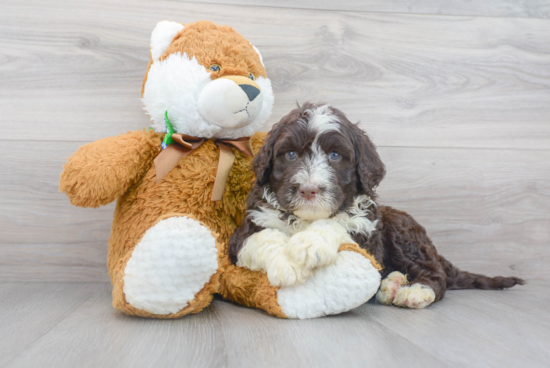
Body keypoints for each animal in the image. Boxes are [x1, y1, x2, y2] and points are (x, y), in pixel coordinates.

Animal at [230, 103, 528, 308]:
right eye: (290, 154)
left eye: (335, 156)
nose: (308, 189)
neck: (305, 219)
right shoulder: (245, 231)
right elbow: (264, 237)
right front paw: (286, 264)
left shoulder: (367, 234)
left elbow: (336, 225)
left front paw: (308, 245)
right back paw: (392, 284)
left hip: (401, 227)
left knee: (437, 275)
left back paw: (413, 291)